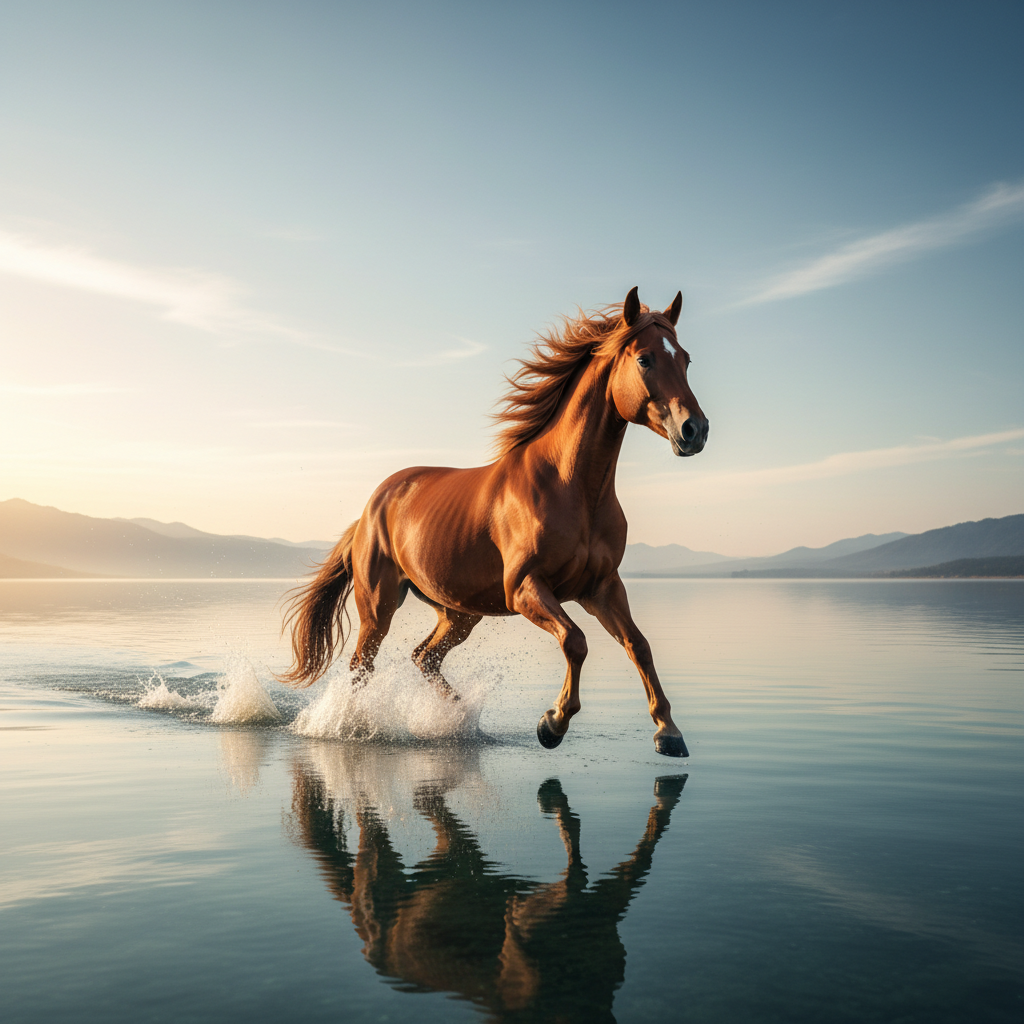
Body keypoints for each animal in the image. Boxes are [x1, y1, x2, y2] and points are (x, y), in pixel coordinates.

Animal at [281, 286, 709, 757]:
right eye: (645, 359)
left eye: (685, 359)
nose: (695, 430)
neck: (572, 487)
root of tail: (370, 509)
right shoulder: (524, 588)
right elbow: (575, 641)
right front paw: (552, 724)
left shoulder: (601, 587)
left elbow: (639, 645)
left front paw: (668, 732)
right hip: (379, 605)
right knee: (362, 665)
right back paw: (354, 725)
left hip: (458, 612)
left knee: (423, 656)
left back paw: (458, 719)